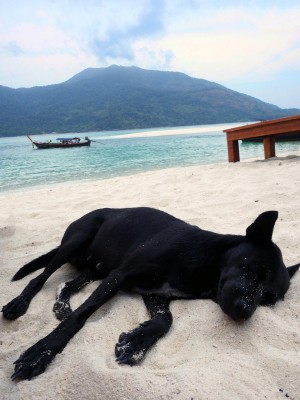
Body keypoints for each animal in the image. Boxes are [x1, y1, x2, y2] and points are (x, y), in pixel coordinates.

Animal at [1, 208, 298, 380]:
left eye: (268, 299)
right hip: (76, 242)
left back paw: (62, 304)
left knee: (67, 284)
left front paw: (136, 343)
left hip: (95, 269)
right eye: (251, 268)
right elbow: (82, 316)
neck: (203, 258)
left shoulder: (156, 294)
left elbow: (164, 320)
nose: (245, 310)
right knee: (40, 278)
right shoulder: (120, 276)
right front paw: (41, 352)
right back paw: (19, 303)